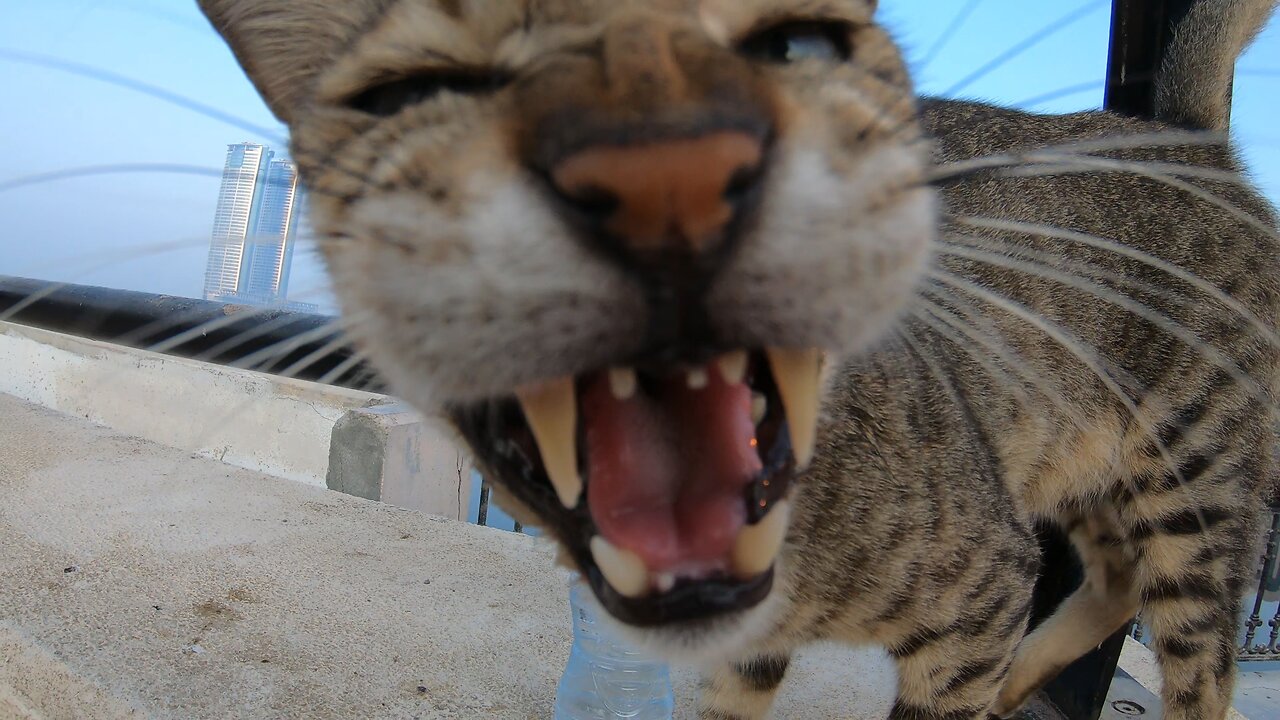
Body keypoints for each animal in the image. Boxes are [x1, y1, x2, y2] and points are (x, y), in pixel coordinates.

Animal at [192, 2, 1280, 712]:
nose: (654, 186)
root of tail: (1179, 136)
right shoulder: (739, 659)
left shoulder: (982, 585)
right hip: (1086, 467)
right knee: (1115, 581)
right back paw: (1023, 678)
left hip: (1195, 478)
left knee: (1201, 668)